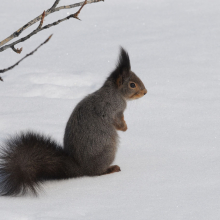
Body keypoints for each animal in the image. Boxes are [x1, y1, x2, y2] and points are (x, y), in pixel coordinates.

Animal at [0, 47, 148, 196]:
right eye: (132, 84)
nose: (145, 92)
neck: (115, 92)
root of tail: (80, 168)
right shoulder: (113, 109)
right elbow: (116, 121)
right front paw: (124, 128)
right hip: (107, 150)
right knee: (95, 173)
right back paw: (110, 169)